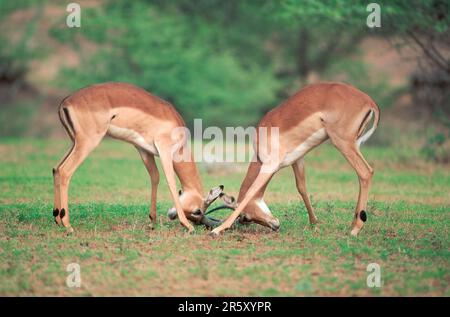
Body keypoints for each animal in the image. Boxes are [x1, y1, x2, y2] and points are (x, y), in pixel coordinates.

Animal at [51, 81, 224, 232]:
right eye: (197, 211)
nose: (172, 216)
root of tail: (66, 101)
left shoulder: (143, 150)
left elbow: (155, 177)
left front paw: (152, 222)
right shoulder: (164, 150)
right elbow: (171, 182)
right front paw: (187, 226)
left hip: (74, 142)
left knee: (56, 169)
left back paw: (57, 219)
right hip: (87, 142)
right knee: (66, 171)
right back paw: (68, 225)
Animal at [211, 82, 380, 236]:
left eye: (246, 217)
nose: (275, 225)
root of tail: (369, 101)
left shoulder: (269, 165)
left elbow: (251, 191)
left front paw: (218, 229)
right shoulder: (297, 160)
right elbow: (301, 187)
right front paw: (314, 223)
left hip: (343, 143)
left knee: (365, 172)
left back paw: (355, 228)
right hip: (352, 144)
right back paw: (353, 222)